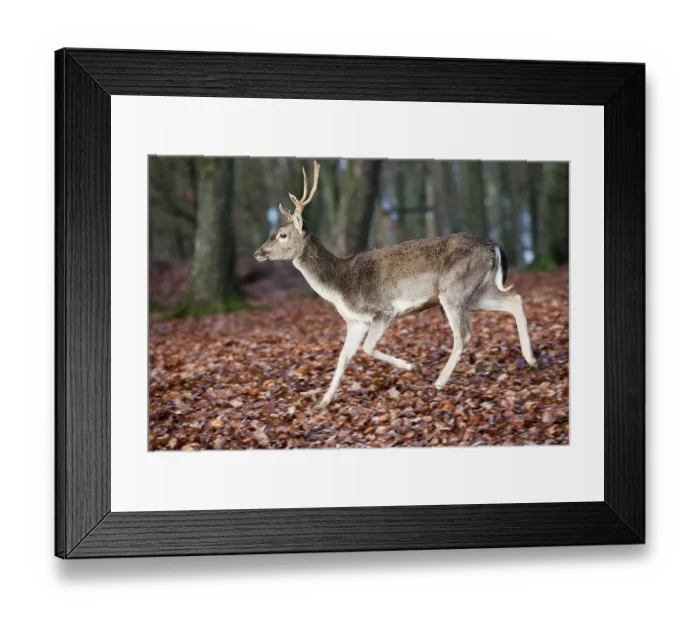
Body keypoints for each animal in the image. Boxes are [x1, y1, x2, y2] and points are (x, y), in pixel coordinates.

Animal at [254, 160, 537, 409]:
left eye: (282, 234)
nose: (258, 253)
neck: (339, 285)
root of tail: (493, 245)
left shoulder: (383, 310)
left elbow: (368, 348)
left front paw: (413, 366)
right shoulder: (355, 321)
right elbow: (343, 357)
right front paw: (323, 402)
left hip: (454, 290)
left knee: (464, 334)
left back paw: (439, 382)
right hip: (476, 291)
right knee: (514, 300)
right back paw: (531, 359)